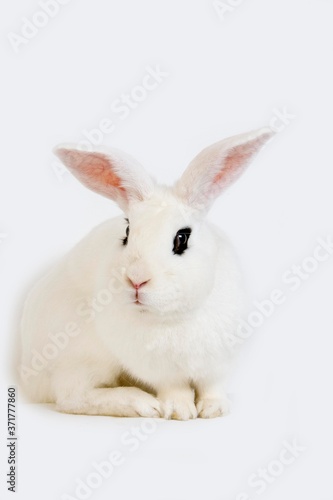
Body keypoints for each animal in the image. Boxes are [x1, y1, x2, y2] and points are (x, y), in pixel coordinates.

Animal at [17, 127, 272, 420]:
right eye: (127, 233)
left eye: (182, 238)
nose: (137, 279)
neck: (173, 318)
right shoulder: (160, 370)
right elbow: (174, 388)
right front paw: (179, 411)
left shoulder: (217, 364)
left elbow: (212, 387)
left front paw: (214, 410)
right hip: (83, 354)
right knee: (72, 396)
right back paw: (141, 404)